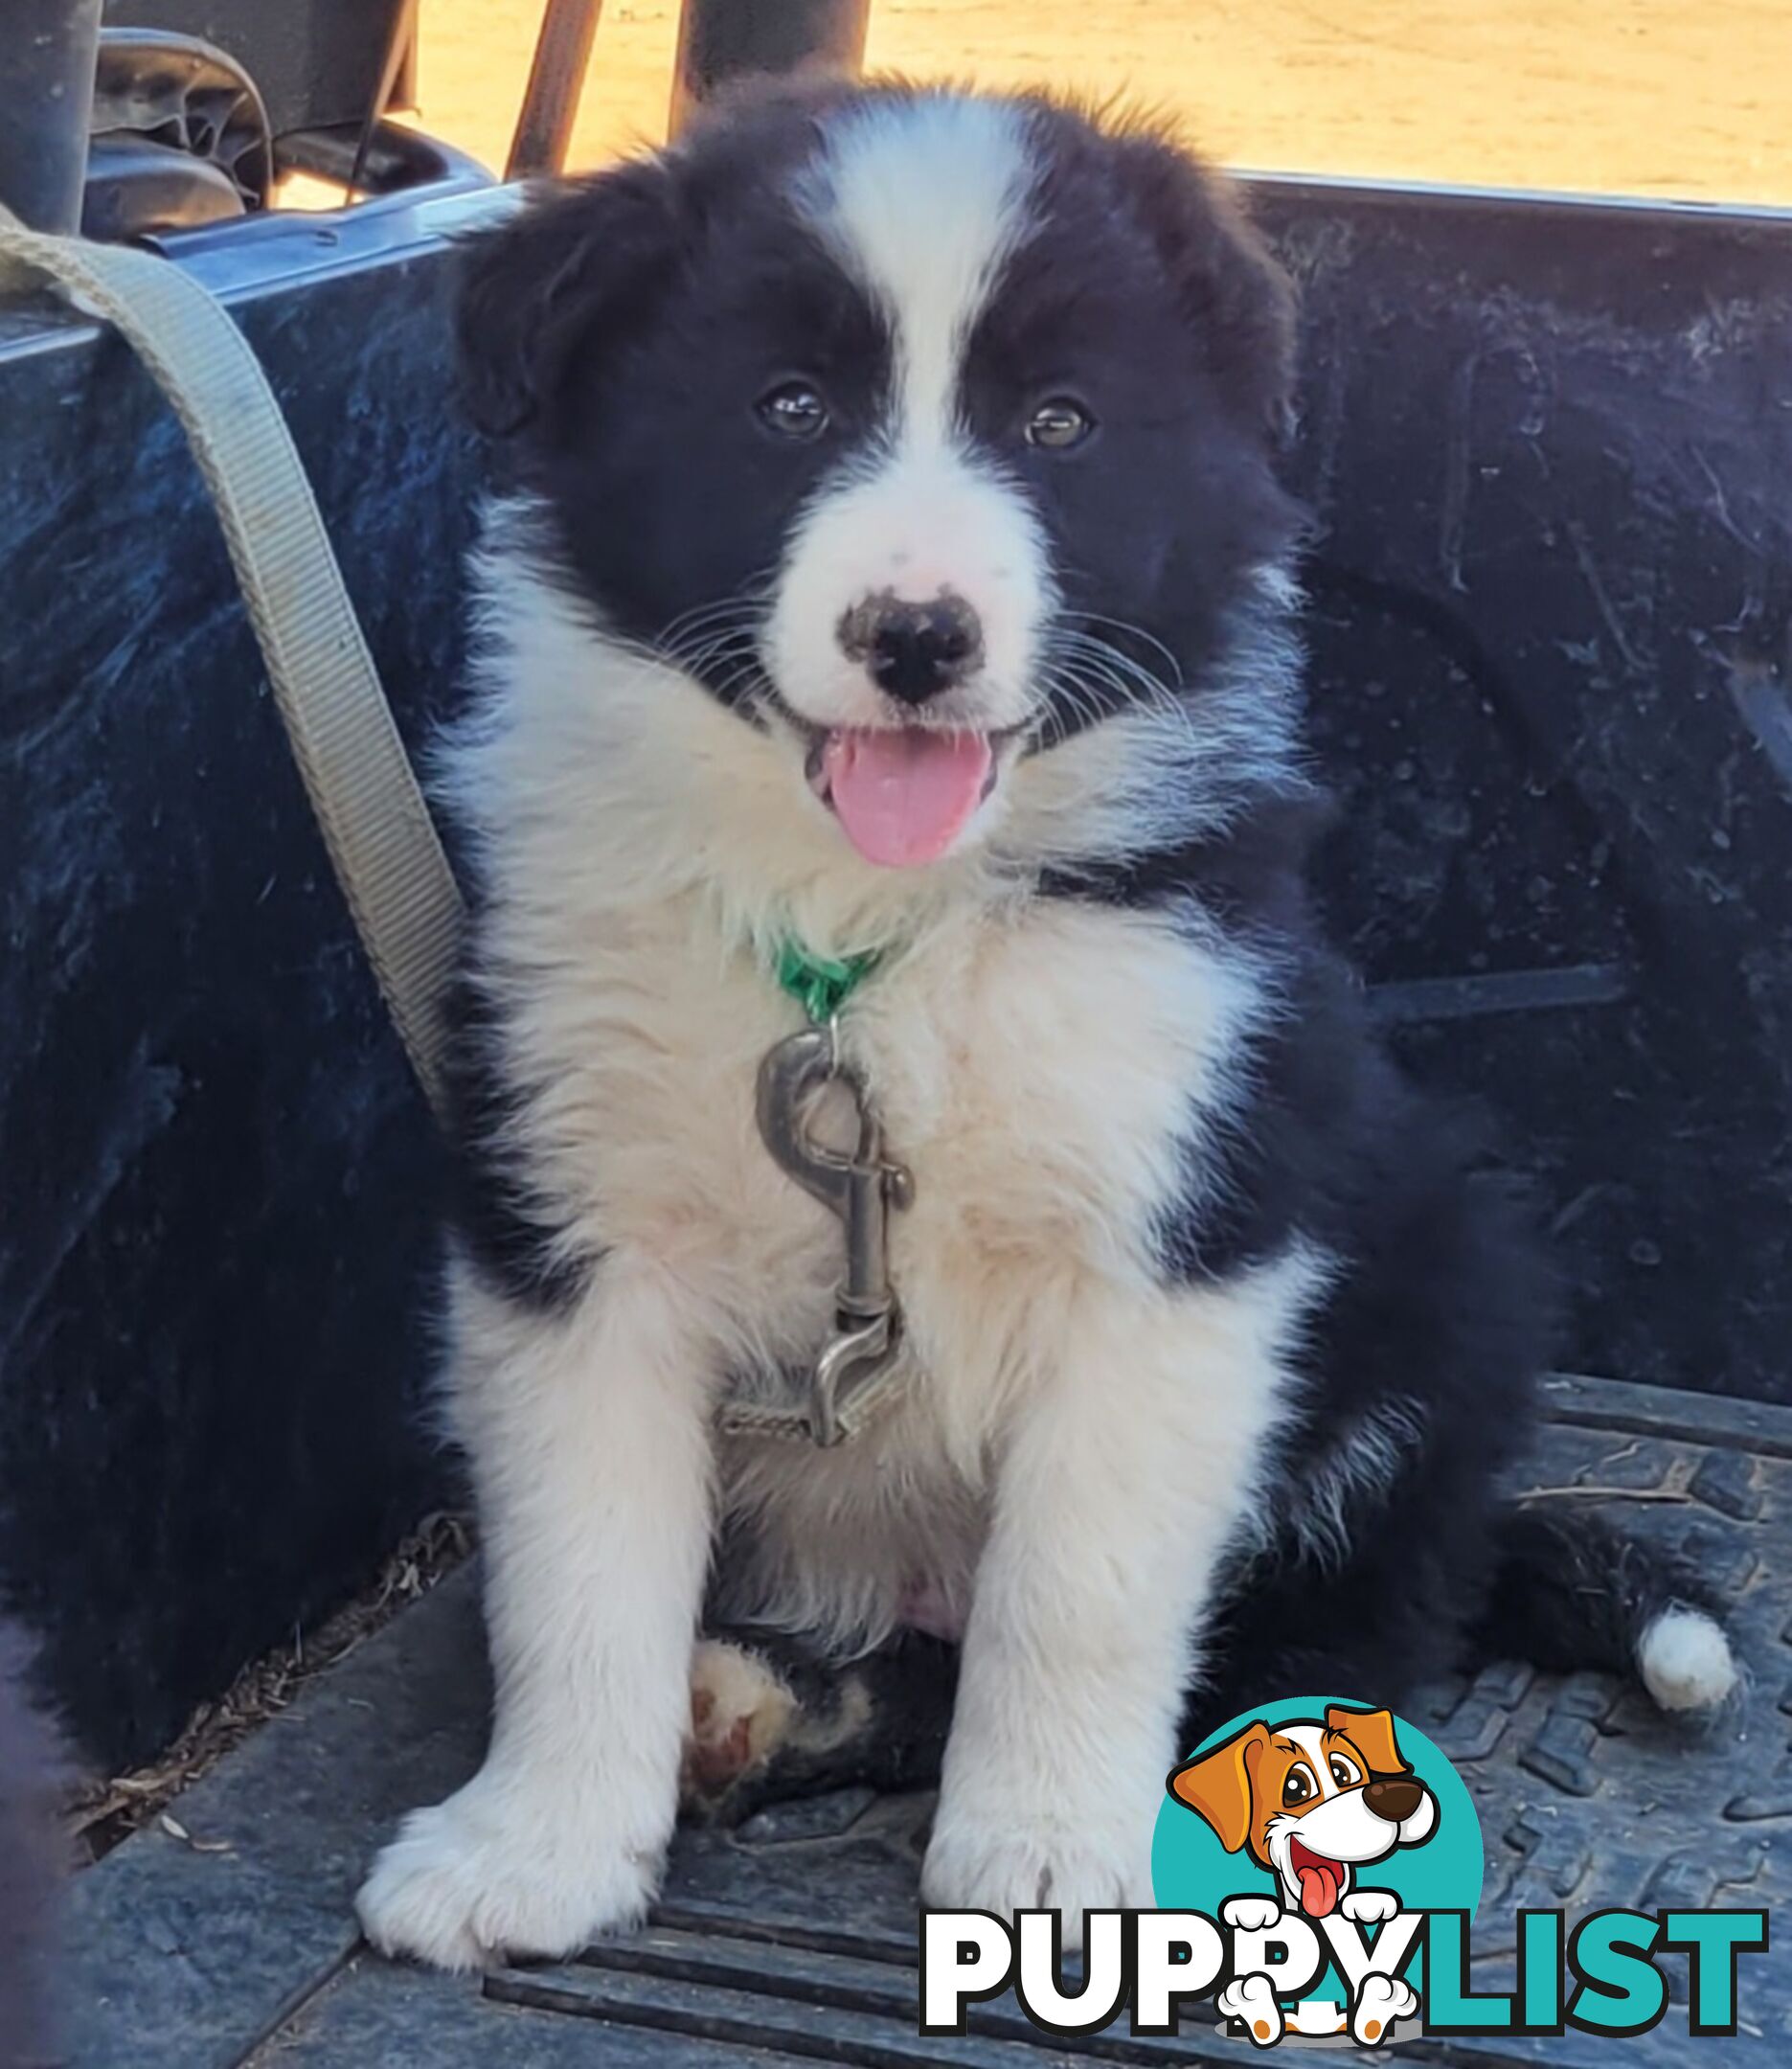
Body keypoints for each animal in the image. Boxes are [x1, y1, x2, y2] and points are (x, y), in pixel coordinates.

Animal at [352, 76, 1730, 1969]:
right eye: (786, 410)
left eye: (1061, 426)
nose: (916, 636)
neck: (871, 936)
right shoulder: (572, 1227)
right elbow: (579, 1569)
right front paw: (532, 1849)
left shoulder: (1179, 1231)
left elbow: (1079, 1588)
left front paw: (1053, 1861)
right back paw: (748, 1707)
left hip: (1440, 1278)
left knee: (1323, 1634)